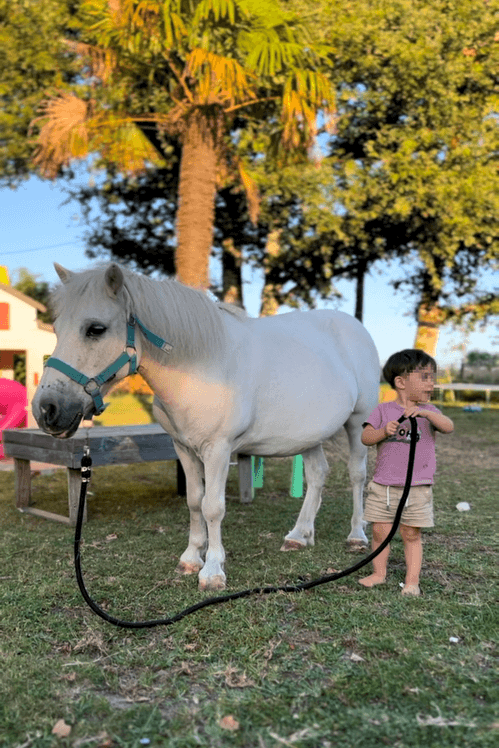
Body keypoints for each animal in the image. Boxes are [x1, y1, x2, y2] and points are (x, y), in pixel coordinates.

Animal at [33, 262, 380, 592]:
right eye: (57, 328)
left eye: (96, 329)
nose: (46, 409)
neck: (202, 367)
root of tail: (356, 328)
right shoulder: (184, 448)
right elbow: (193, 500)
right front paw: (190, 558)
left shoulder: (217, 450)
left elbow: (213, 506)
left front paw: (212, 571)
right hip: (308, 435)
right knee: (318, 474)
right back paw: (299, 535)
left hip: (357, 423)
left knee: (357, 475)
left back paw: (356, 535)